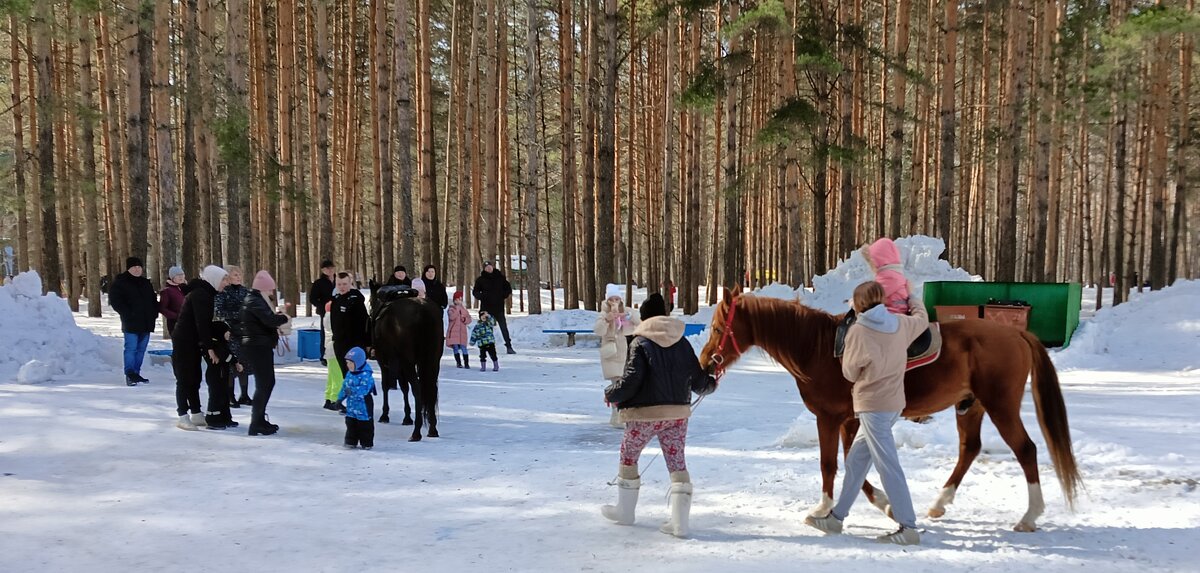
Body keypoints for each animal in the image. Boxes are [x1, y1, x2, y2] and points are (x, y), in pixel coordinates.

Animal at [369, 286, 446, 443]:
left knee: (417, 389)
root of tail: (424, 311)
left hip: (408, 362)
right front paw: (407, 416)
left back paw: (416, 431)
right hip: (433, 362)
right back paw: (432, 429)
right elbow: (404, 388)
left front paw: (385, 415)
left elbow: (386, 386)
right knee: (431, 389)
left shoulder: (384, 361)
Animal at [700, 288, 1084, 529]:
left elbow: (829, 464)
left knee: (1026, 450)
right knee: (969, 449)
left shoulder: (830, 418)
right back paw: (940, 503)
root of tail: (1017, 334)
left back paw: (1030, 516)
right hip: (969, 406)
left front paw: (823, 507)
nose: (705, 363)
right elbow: (853, 463)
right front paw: (884, 502)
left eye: (718, 327)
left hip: (1001, 406)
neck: (818, 348)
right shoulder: (851, 420)